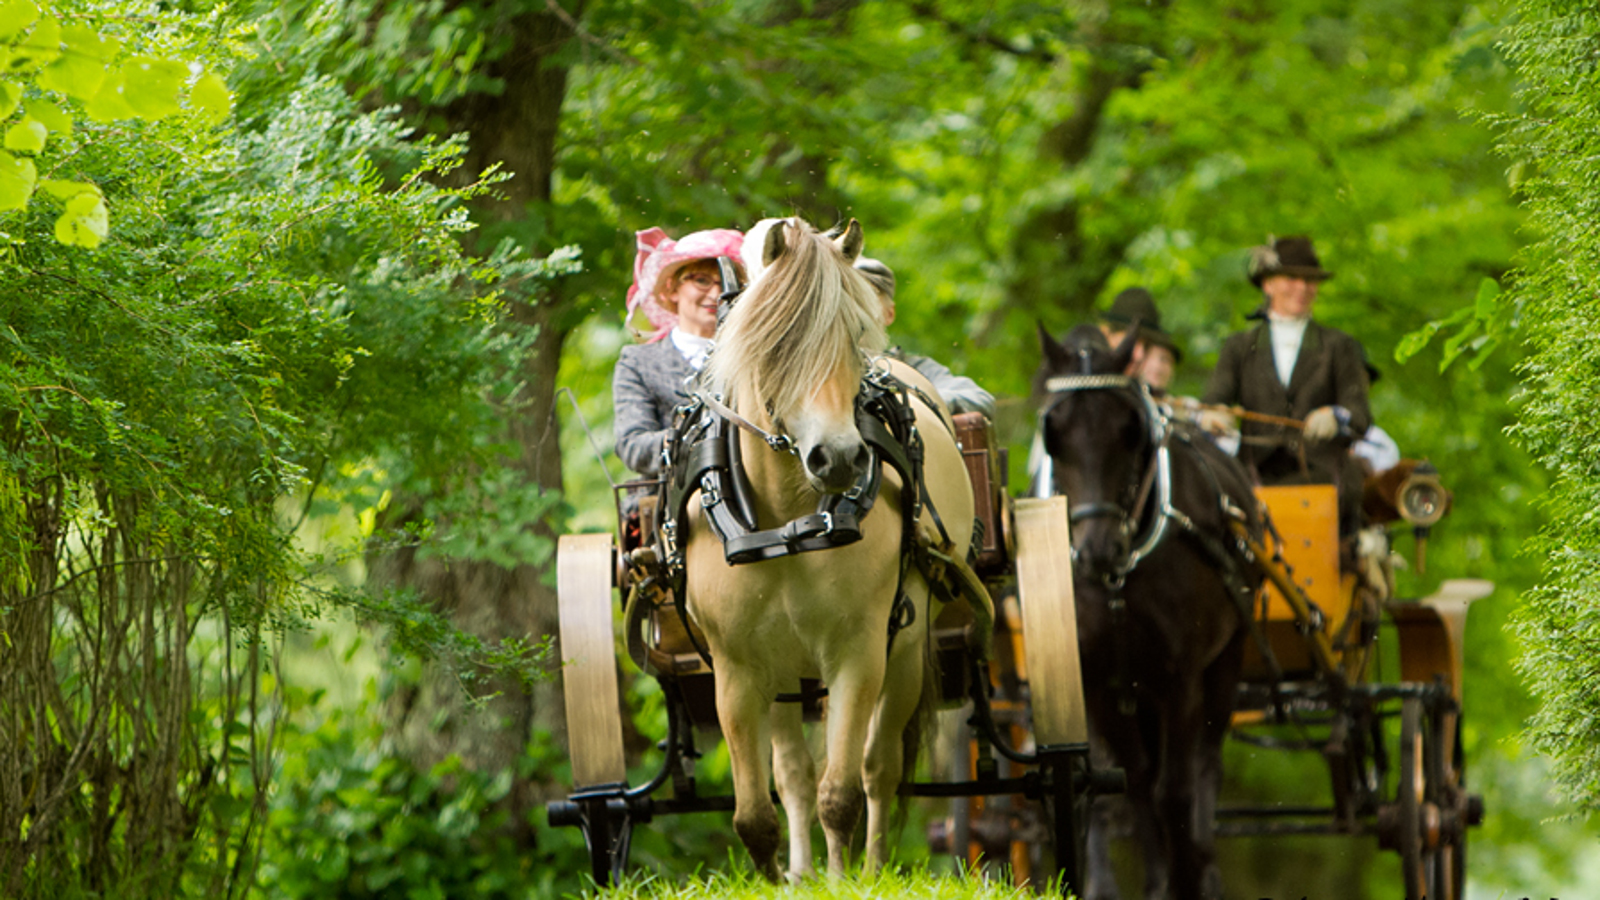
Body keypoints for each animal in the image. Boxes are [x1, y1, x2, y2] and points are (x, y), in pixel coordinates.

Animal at [691, 217, 972, 877]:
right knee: (793, 772)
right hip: (783, 674)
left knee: (878, 766)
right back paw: (800, 871)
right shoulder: (737, 669)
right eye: (777, 343)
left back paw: (871, 867)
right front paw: (780, 879)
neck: (787, 523)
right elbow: (755, 815)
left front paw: (846, 879)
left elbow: (841, 792)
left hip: (904, 650)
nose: (840, 458)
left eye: (854, 338)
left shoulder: (858, 652)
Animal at [1036, 323, 1260, 896]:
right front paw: (1152, 881)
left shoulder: (1179, 678)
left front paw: (1186, 878)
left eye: (1128, 429)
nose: (1096, 549)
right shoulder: (1096, 682)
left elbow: (1173, 790)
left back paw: (1203, 862)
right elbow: (1128, 780)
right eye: (1054, 431)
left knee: (1205, 764)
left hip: (1226, 662)